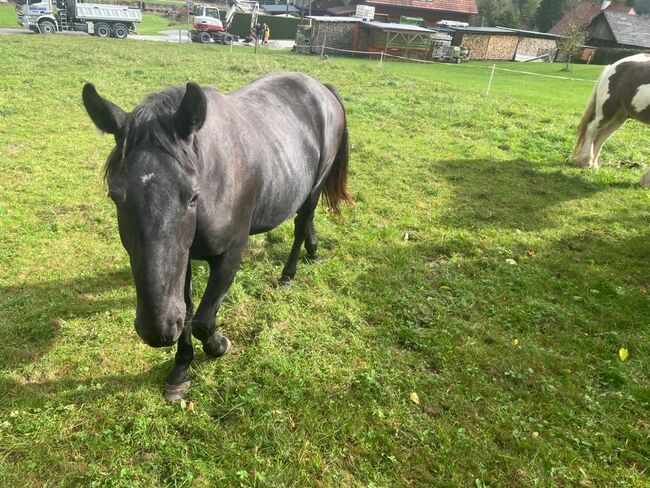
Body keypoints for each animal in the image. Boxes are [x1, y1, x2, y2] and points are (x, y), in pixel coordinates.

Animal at [84, 73, 352, 400]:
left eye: (192, 196)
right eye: (116, 196)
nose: (157, 330)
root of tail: (320, 88)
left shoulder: (230, 255)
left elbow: (202, 320)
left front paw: (219, 345)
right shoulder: (183, 261)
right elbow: (187, 314)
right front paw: (180, 369)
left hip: (315, 186)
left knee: (302, 223)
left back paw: (288, 275)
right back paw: (313, 252)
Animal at [568, 52, 648, 185]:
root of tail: (612, 66)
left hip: (619, 117)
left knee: (602, 136)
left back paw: (593, 165)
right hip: (607, 111)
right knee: (592, 129)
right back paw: (586, 161)